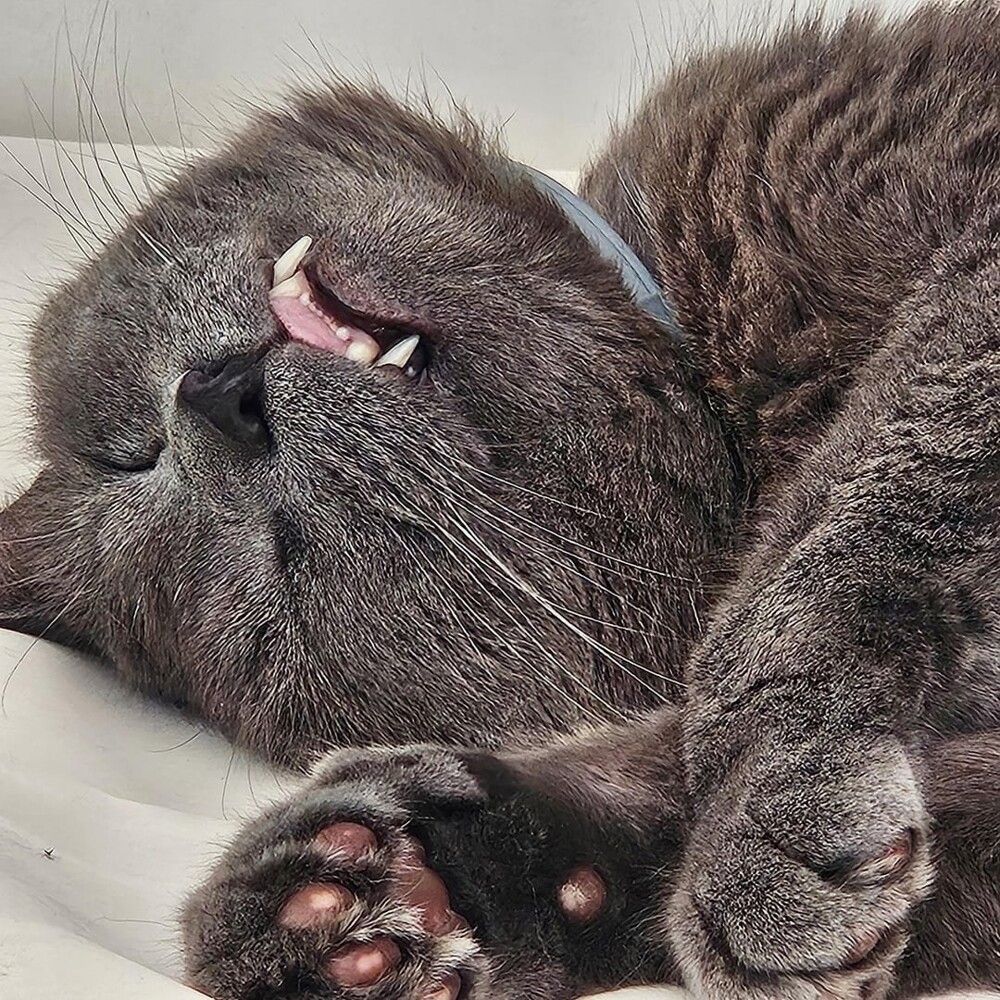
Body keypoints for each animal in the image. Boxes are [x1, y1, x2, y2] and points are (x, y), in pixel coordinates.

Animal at [2, 2, 999, 998]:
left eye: (136, 450)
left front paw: (774, 781)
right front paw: (400, 895)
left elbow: (852, 518)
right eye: (281, 562)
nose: (218, 401)